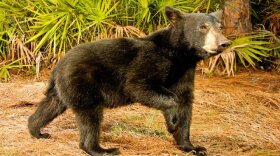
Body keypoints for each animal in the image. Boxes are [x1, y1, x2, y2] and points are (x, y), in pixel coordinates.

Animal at [27, 6, 230, 156]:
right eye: (203, 27)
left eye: (220, 27)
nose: (224, 43)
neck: (180, 56)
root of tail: (58, 65)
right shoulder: (149, 60)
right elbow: (138, 86)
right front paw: (172, 122)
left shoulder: (185, 72)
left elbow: (186, 103)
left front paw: (192, 146)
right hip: (84, 82)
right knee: (90, 116)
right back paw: (101, 149)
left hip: (63, 87)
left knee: (50, 105)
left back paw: (37, 130)